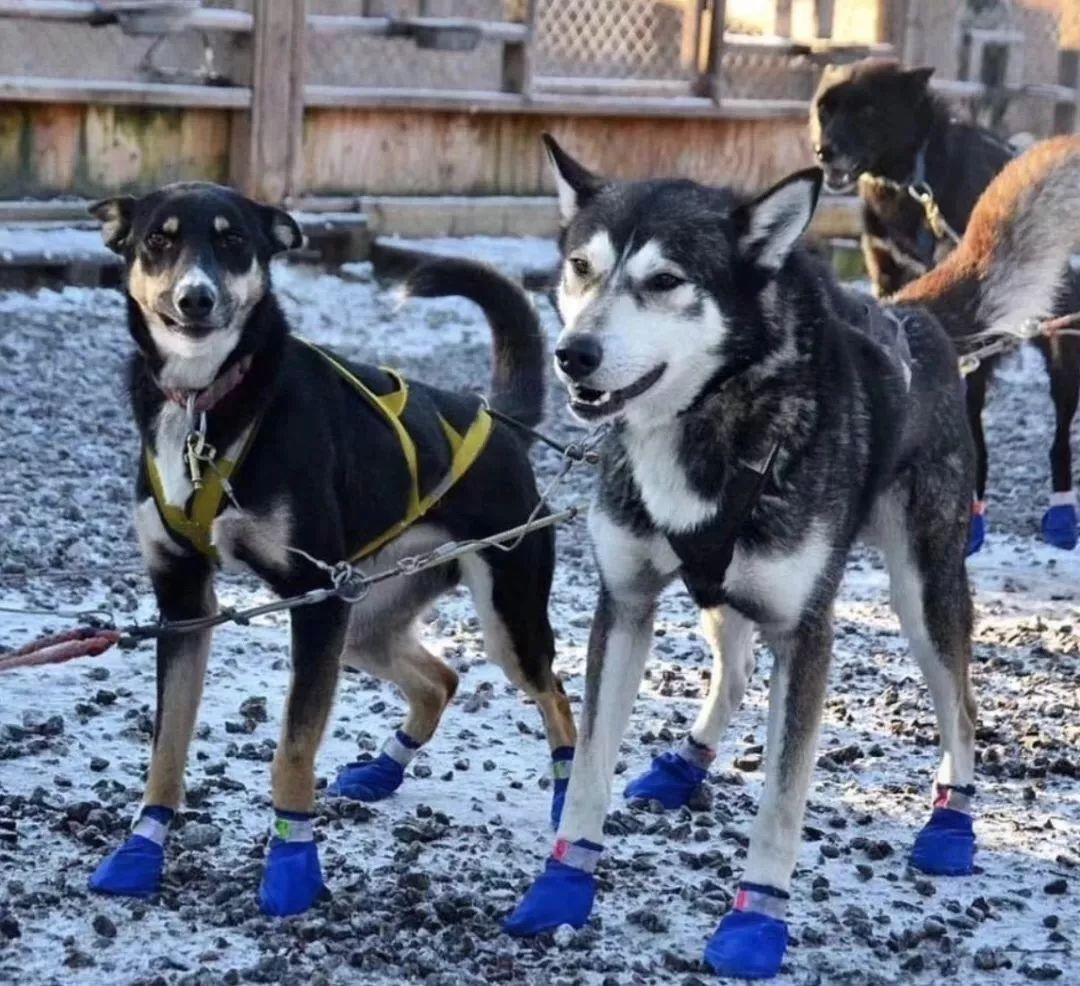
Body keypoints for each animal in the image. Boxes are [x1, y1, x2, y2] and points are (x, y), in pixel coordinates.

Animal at [85, 182, 578, 915]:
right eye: (158, 241)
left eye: (234, 241)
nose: (195, 298)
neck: (207, 406)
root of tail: (499, 423)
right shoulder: (184, 604)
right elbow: (166, 745)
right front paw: (142, 848)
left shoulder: (311, 604)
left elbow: (292, 751)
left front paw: (292, 867)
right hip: (362, 620)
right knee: (441, 678)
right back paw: (382, 770)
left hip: (501, 617)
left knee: (557, 698)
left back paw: (569, 797)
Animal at [503, 136, 1080, 976]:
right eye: (581, 266)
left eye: (665, 281)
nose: (573, 354)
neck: (714, 418)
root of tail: (915, 319)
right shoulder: (627, 604)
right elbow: (584, 772)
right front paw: (560, 885)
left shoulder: (808, 632)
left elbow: (782, 801)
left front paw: (756, 920)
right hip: (727, 595)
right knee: (738, 672)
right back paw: (687, 763)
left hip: (923, 592)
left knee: (963, 709)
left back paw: (951, 824)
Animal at [812, 57, 1080, 552]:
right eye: (824, 109)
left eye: (867, 110)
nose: (824, 151)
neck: (911, 187)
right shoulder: (890, 284)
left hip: (1061, 350)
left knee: (1059, 437)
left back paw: (1061, 511)